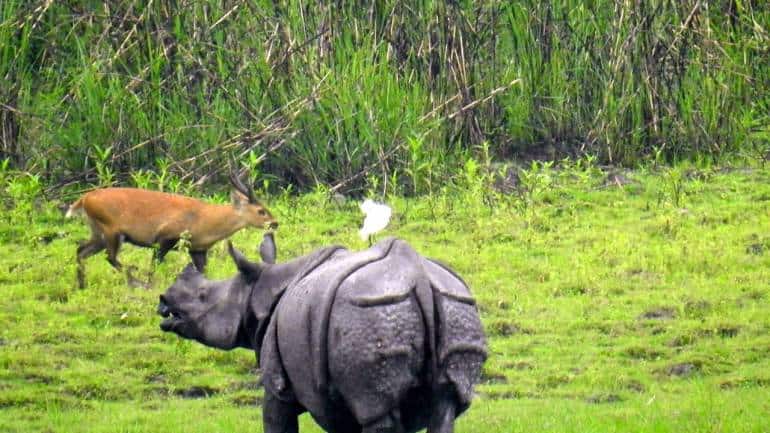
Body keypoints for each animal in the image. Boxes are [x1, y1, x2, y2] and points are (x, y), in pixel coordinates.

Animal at [157, 233, 487, 433]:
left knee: (379, 413)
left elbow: (276, 420)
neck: (257, 290)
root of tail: (417, 277)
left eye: (203, 296)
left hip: (368, 316)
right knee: (446, 406)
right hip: (455, 308)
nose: (164, 302)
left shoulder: (278, 384)